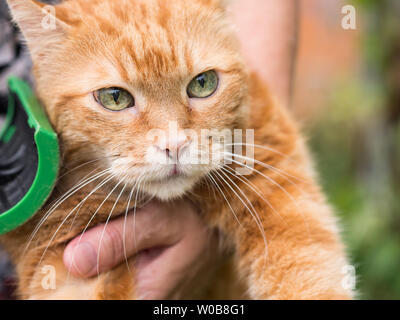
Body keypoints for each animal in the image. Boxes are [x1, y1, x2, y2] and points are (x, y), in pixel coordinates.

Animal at [1, 0, 354, 300]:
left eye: (203, 84)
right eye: (115, 98)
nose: (174, 145)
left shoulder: (277, 178)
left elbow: (306, 271)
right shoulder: (52, 261)